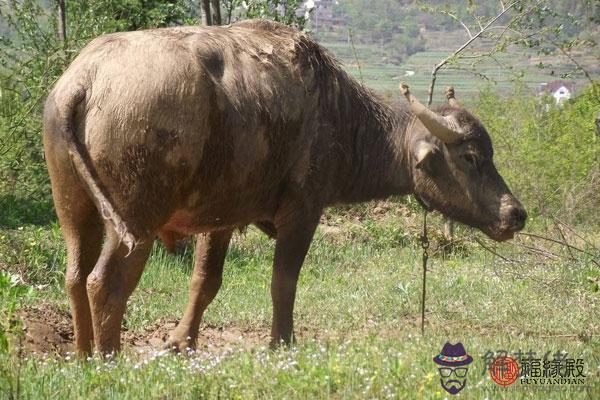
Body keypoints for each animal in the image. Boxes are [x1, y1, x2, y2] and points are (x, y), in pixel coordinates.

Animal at [43, 20, 524, 354]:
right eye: (472, 157)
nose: (515, 213)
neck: (340, 116)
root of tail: (84, 79)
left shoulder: (220, 217)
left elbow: (205, 281)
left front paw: (183, 341)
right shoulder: (303, 211)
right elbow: (284, 281)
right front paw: (282, 341)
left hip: (75, 210)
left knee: (75, 276)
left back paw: (83, 355)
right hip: (136, 221)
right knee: (105, 282)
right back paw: (110, 357)